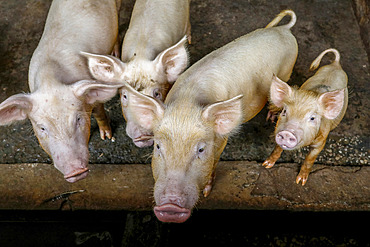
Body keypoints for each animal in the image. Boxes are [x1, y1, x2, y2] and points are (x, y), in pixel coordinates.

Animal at [0, 0, 123, 181]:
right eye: (42, 128)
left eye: (78, 119)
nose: (75, 171)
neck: (50, 81)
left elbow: (99, 112)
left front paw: (107, 137)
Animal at [120, 9, 300, 222]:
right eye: (158, 147)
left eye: (201, 149)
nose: (171, 206)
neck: (187, 103)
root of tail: (285, 29)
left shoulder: (222, 138)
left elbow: (215, 161)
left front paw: (206, 193)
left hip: (287, 70)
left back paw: (271, 117)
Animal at [262, 48, 348, 185]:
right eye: (284, 111)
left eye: (312, 118)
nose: (287, 132)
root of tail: (336, 64)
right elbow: (277, 149)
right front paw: (265, 165)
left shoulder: (321, 142)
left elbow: (310, 159)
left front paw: (300, 182)